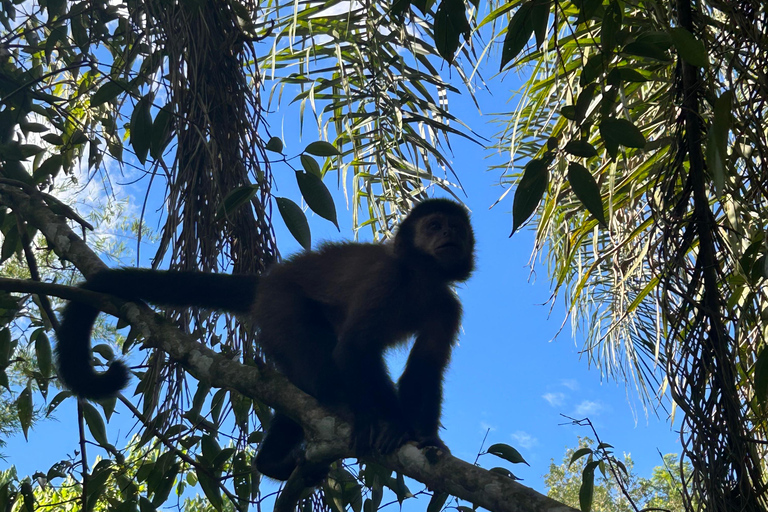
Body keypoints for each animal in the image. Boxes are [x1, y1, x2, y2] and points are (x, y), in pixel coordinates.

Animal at [55, 198, 474, 482]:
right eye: (434, 226)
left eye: (455, 228)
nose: (449, 235)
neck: (418, 275)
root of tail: (268, 281)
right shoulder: (387, 281)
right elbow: (354, 349)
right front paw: (392, 424)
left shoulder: (445, 304)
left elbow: (425, 369)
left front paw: (427, 440)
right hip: (281, 308)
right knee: (322, 371)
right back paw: (343, 410)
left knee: (303, 389)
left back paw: (270, 461)